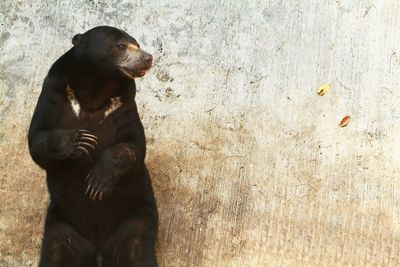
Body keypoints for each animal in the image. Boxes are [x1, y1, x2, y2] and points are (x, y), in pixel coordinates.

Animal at [27, 25, 158, 267]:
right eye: (121, 45)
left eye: (137, 44)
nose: (147, 58)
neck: (96, 87)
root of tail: (98, 250)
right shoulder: (53, 95)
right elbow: (38, 137)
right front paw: (80, 140)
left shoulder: (123, 106)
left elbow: (133, 144)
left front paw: (98, 183)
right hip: (60, 225)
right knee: (54, 253)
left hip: (136, 217)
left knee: (138, 250)